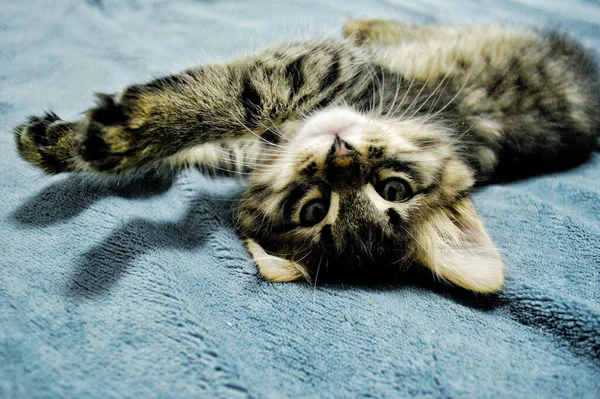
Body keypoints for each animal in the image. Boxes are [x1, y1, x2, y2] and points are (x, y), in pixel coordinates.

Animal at [14, 19, 600, 294]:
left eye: (315, 210)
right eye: (394, 188)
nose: (340, 155)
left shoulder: (318, 68)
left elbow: (235, 97)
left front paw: (118, 135)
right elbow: (206, 137)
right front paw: (57, 143)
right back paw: (369, 22)